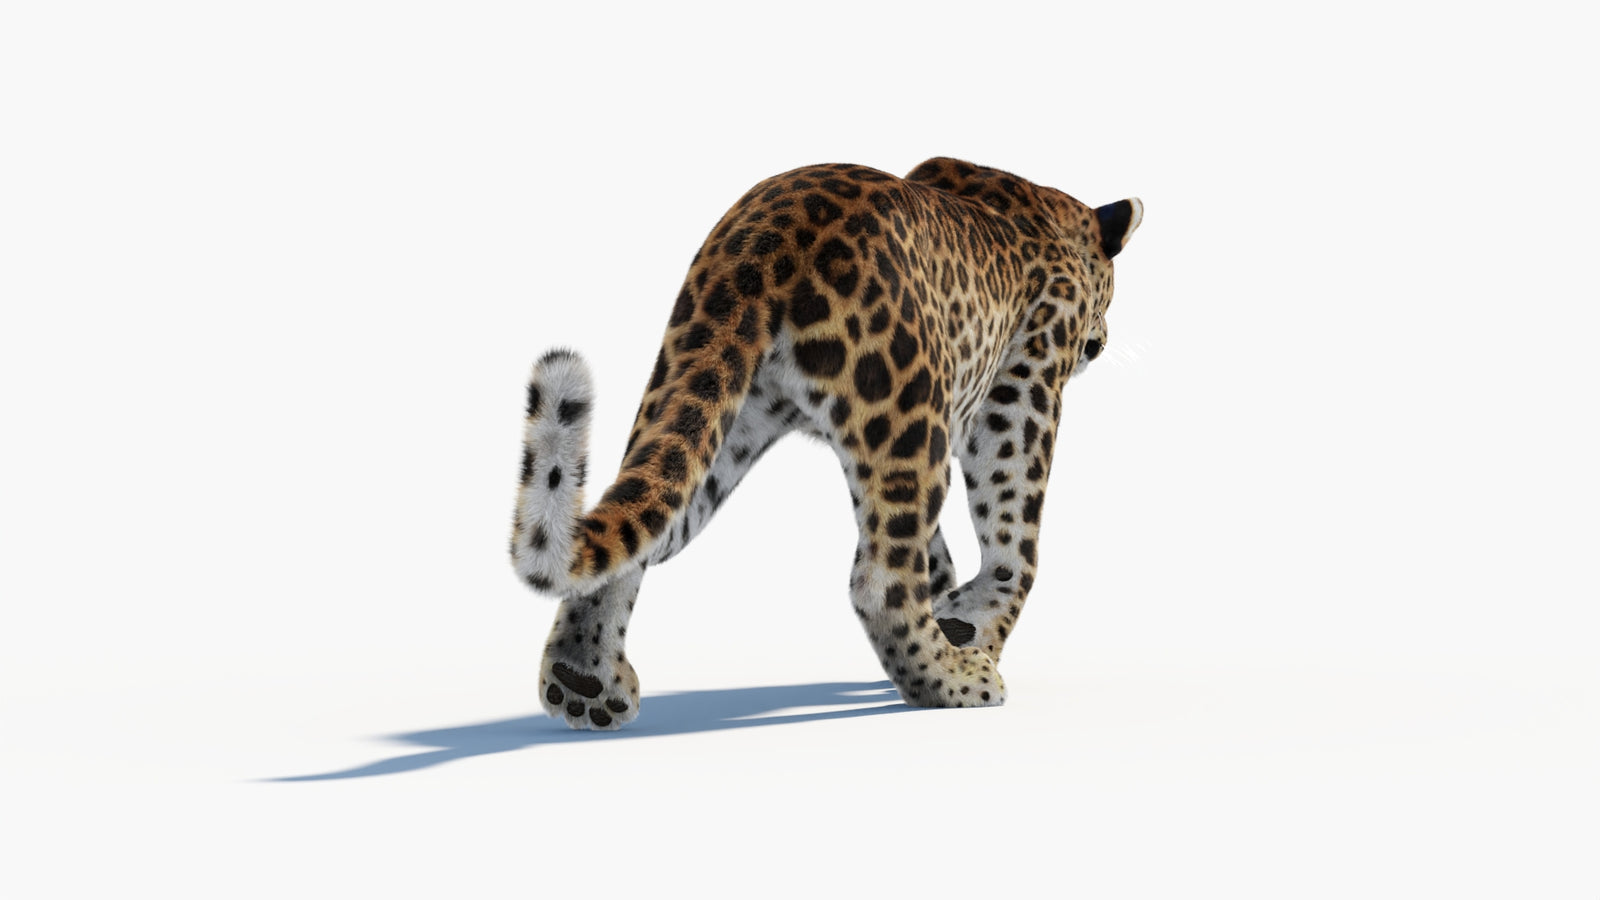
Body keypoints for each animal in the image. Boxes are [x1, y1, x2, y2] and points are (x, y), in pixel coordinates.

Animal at [511, 157, 1142, 729]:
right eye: (1109, 300)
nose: (1103, 340)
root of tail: (770, 237)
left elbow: (939, 547)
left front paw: (952, 612)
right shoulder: (1023, 387)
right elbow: (1015, 538)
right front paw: (971, 631)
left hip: (714, 409)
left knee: (642, 524)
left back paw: (582, 681)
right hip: (907, 415)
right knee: (879, 582)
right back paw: (950, 681)